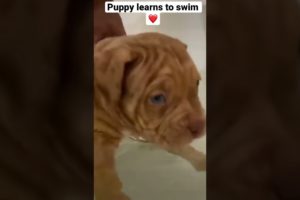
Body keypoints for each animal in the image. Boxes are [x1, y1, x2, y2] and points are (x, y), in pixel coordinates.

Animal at [94, 32, 206, 200]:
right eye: (157, 98)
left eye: (197, 82)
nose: (199, 127)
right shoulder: (99, 149)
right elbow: (108, 184)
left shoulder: (157, 130)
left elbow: (181, 146)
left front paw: (202, 161)